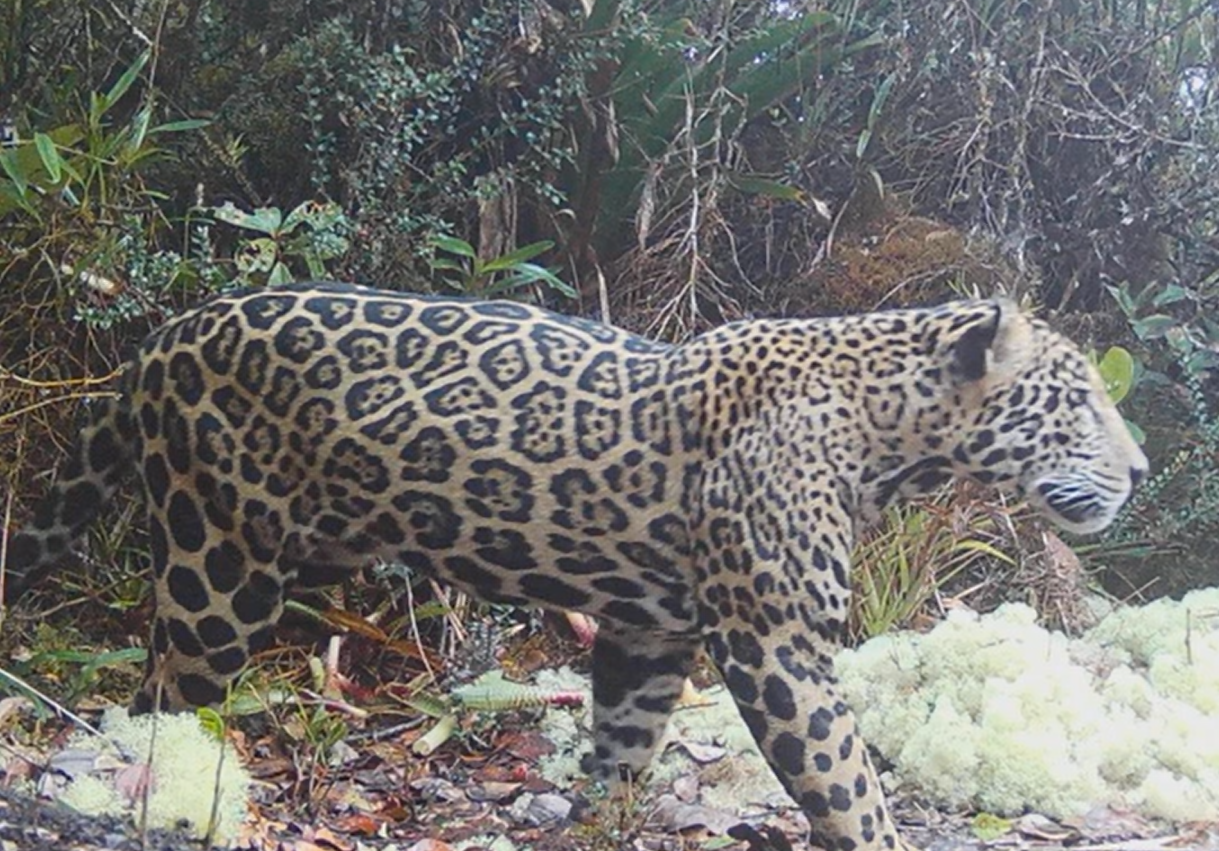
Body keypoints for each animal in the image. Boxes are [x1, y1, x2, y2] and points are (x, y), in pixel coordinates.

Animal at [3, 281, 1146, 851]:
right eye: (1079, 399)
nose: (1138, 470)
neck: (889, 435)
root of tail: (159, 339)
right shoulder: (775, 644)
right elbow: (848, 785)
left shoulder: (650, 630)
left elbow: (625, 746)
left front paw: (602, 822)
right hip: (219, 564)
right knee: (160, 699)